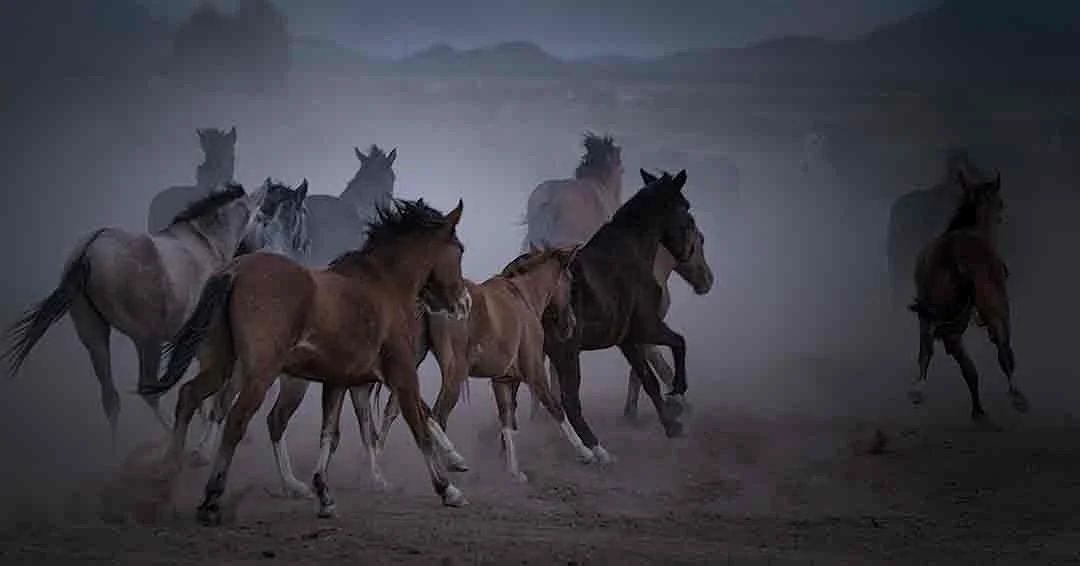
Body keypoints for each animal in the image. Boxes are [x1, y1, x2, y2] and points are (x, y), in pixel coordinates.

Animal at [2, 183, 271, 451]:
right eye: (261, 218)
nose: (262, 249)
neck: (207, 244)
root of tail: (90, 249)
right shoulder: (203, 341)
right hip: (147, 341)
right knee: (148, 391)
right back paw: (174, 443)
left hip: (94, 336)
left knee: (111, 398)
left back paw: (116, 451)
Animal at [139, 198, 473, 525]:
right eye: (459, 250)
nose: (464, 304)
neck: (384, 285)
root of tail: (235, 270)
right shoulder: (402, 375)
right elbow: (420, 427)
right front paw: (448, 490)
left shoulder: (339, 382)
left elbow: (329, 435)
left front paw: (324, 496)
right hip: (260, 373)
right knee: (236, 419)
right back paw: (211, 497)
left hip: (223, 364)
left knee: (190, 396)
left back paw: (168, 473)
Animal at [372, 244, 596, 483]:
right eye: (571, 282)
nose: (569, 325)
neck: (522, 297)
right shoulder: (534, 372)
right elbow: (555, 407)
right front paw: (586, 452)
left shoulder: (502, 380)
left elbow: (507, 421)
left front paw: (514, 472)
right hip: (455, 374)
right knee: (437, 415)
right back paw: (452, 462)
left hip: (409, 364)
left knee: (399, 409)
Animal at [544, 169, 706, 464]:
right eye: (685, 209)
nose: (686, 251)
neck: (628, 251)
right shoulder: (647, 326)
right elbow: (679, 342)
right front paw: (678, 390)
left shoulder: (627, 339)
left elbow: (648, 379)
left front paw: (671, 425)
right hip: (566, 353)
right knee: (569, 401)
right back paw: (598, 451)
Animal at [907, 170, 1029, 423]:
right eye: (1000, 203)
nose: (1001, 216)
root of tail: (954, 257)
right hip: (996, 309)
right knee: (1003, 351)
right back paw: (1017, 398)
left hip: (935, 317)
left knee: (935, 354)